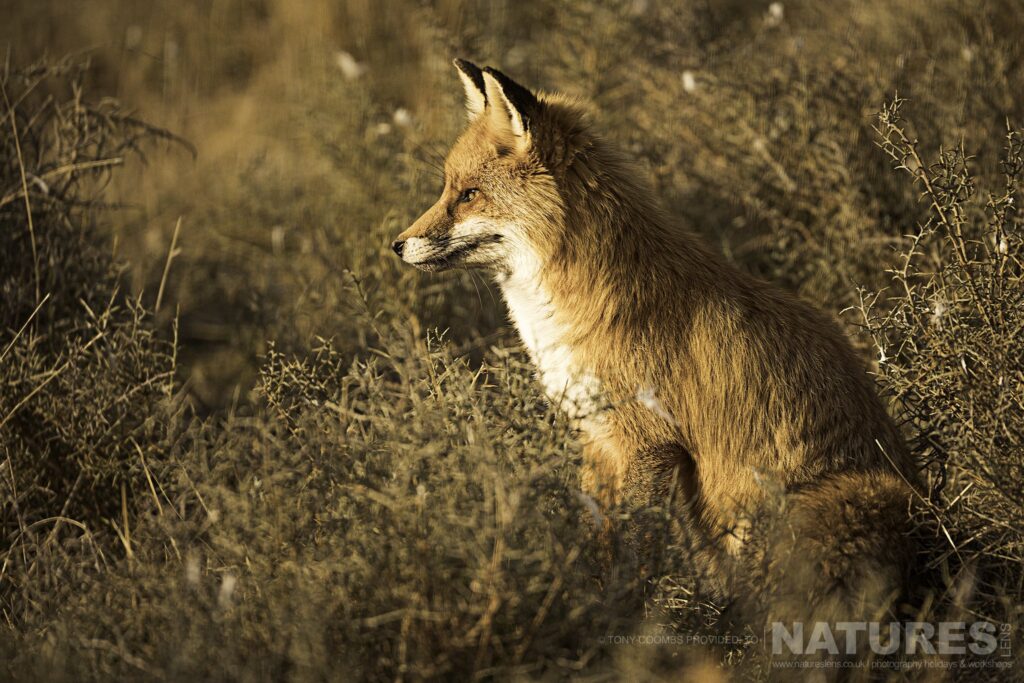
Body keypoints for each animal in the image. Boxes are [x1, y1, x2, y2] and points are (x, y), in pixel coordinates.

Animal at [391, 61, 921, 638]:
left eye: (468, 195)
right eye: (447, 189)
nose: (397, 245)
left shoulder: (649, 442)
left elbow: (633, 552)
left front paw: (614, 622)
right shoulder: (597, 439)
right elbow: (597, 537)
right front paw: (584, 603)